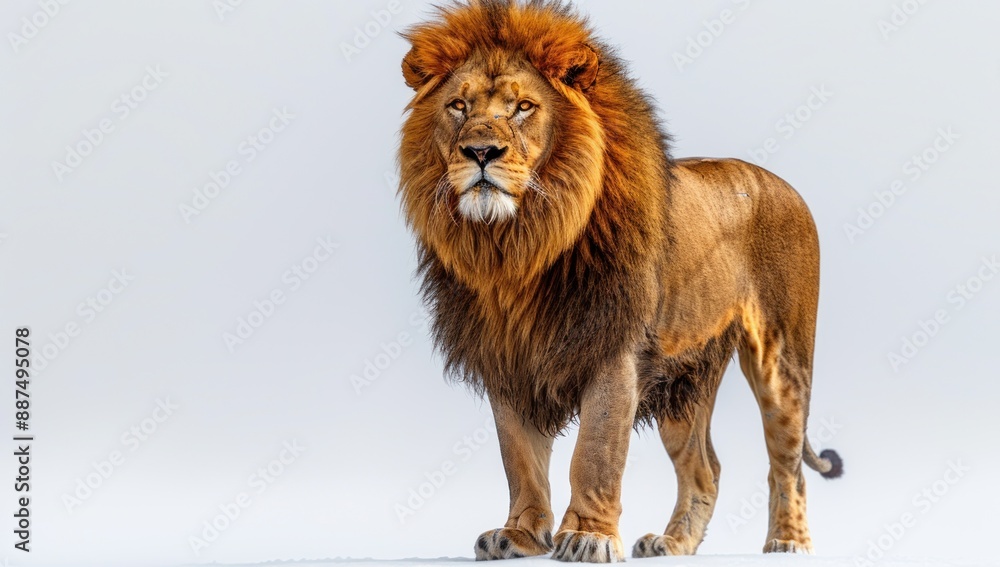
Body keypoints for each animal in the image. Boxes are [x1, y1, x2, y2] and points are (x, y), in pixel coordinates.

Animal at [397, 0, 842, 562]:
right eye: (458, 105)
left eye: (523, 107)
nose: (480, 151)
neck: (518, 246)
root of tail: (782, 184)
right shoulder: (507, 357)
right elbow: (519, 459)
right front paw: (519, 535)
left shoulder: (615, 351)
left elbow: (595, 451)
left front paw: (587, 536)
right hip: (685, 378)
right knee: (706, 469)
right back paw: (673, 543)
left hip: (782, 360)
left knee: (786, 464)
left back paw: (788, 542)